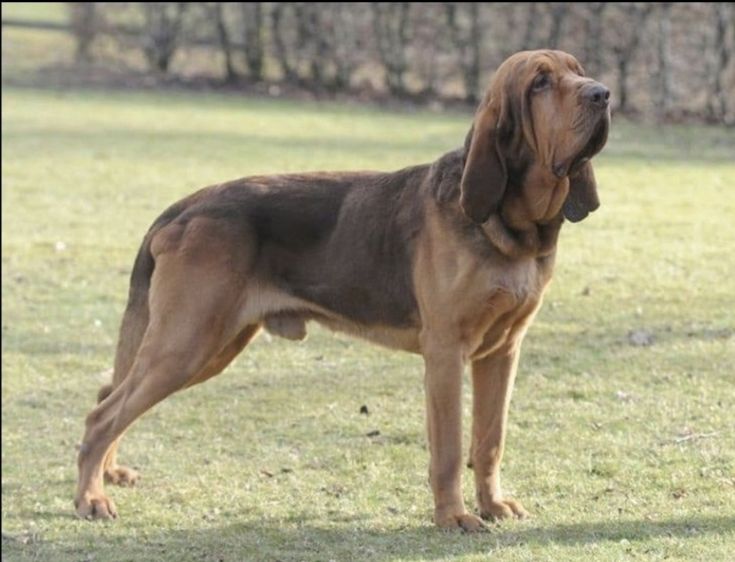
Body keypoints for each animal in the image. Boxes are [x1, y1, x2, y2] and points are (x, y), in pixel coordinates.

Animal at [77, 49, 612, 528]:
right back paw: (91, 498)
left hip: (211, 346)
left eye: (578, 70)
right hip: (187, 345)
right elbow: (449, 447)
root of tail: (184, 208)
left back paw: (107, 475)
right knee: (101, 416)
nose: (603, 94)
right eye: (540, 82)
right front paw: (453, 517)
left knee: (109, 393)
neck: (513, 227)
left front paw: (493, 505)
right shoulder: (446, 353)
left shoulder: (501, 352)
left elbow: (489, 439)